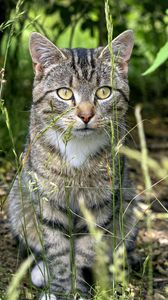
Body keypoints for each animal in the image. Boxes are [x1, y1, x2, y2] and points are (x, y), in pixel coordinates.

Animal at [8, 31, 138, 300]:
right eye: (65, 94)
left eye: (104, 92)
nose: (86, 115)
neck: (78, 148)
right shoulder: (46, 201)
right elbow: (58, 253)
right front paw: (62, 290)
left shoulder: (101, 205)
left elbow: (84, 253)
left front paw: (79, 290)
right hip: (18, 205)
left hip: (129, 208)